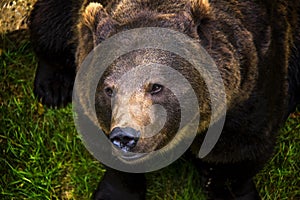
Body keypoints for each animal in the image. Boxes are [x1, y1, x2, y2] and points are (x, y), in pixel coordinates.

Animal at [29, 0, 300, 199]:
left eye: (156, 86)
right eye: (109, 89)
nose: (125, 136)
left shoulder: (250, 94)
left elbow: (237, 155)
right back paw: (52, 86)